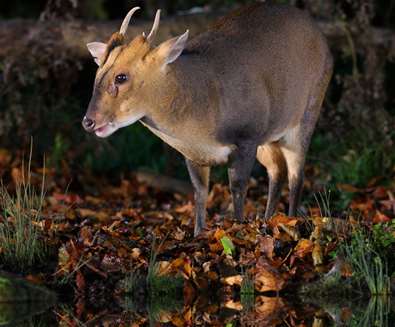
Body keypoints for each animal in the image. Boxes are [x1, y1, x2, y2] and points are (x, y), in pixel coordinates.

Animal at [83, 1, 334, 236]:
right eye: (97, 74)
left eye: (121, 77)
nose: (88, 121)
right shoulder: (194, 154)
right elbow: (200, 191)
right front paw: (198, 234)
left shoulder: (247, 136)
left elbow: (237, 187)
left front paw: (238, 227)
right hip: (269, 136)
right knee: (277, 171)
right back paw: (268, 221)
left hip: (308, 110)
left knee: (296, 173)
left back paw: (292, 221)